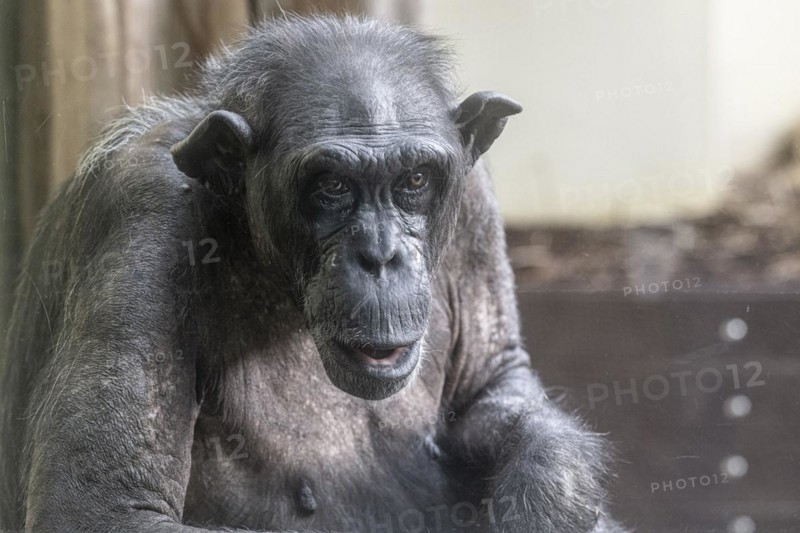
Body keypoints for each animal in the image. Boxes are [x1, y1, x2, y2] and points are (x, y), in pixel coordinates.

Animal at [1, 16, 626, 533]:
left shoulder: (472, 205)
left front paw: (547, 496)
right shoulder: (140, 212)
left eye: (415, 181)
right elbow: (103, 505)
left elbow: (490, 382)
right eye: (332, 186)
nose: (380, 256)